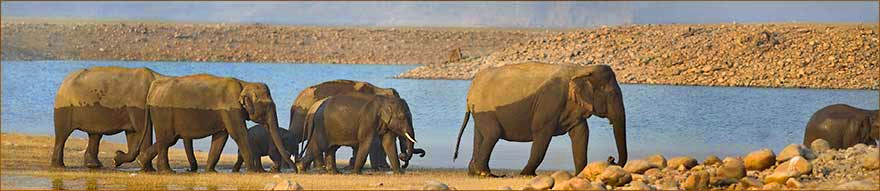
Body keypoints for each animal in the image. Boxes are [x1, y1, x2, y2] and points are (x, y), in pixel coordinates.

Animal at [138, 74, 296, 172]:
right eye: (267, 105)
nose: (297, 170)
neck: (244, 83)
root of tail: (151, 93)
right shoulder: (231, 109)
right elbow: (239, 134)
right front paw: (252, 171)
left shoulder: (225, 112)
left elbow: (221, 137)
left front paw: (211, 171)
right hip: (164, 113)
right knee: (167, 139)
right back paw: (167, 171)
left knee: (168, 139)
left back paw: (141, 162)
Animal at [290, 80, 424, 171]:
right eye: (401, 118)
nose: (403, 157)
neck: (381, 90)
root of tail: (295, 101)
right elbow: (374, 142)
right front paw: (381, 168)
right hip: (303, 118)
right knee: (298, 137)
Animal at [454, 62, 624, 177]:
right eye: (611, 94)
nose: (611, 158)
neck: (582, 69)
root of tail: (470, 91)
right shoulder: (549, 102)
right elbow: (542, 135)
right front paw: (526, 174)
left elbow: (581, 134)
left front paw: (579, 175)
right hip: (484, 110)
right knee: (492, 134)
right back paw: (487, 174)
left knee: (480, 136)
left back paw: (474, 172)